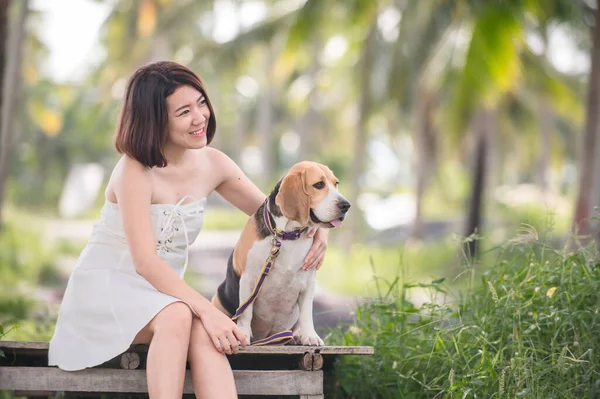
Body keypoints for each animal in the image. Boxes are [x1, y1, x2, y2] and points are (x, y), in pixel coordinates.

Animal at [212, 161, 350, 346]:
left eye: (336, 183)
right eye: (319, 185)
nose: (346, 205)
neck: (288, 235)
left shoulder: (309, 282)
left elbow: (307, 312)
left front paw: (309, 335)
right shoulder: (249, 279)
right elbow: (246, 312)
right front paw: (244, 334)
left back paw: (296, 335)